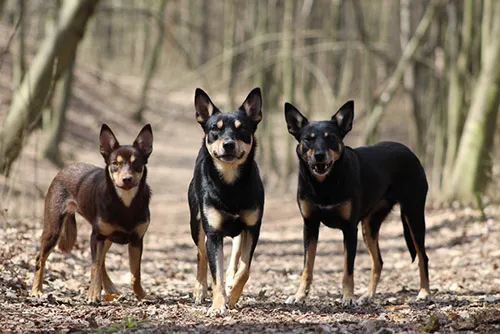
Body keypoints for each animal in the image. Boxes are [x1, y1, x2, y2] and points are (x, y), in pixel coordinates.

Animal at [188, 87, 266, 314]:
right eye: (215, 128)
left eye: (243, 129)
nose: (228, 144)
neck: (230, 183)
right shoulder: (213, 234)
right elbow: (216, 275)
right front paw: (217, 304)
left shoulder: (252, 228)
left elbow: (245, 268)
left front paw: (231, 297)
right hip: (196, 223)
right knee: (201, 254)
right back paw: (199, 290)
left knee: (236, 255)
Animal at [286, 101, 430, 306]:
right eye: (308, 139)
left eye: (331, 138)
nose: (319, 156)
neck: (325, 184)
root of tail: (409, 151)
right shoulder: (310, 225)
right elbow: (307, 267)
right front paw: (299, 295)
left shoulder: (349, 229)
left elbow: (348, 269)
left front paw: (348, 297)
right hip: (369, 226)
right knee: (378, 262)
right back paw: (368, 295)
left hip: (414, 214)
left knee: (422, 257)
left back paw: (424, 292)